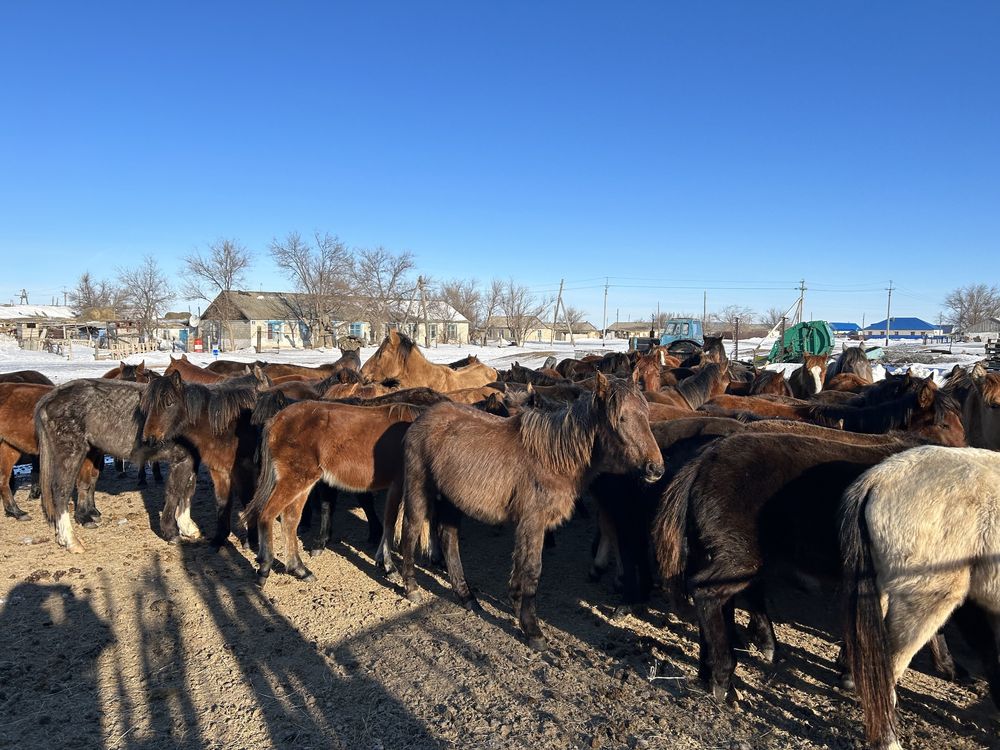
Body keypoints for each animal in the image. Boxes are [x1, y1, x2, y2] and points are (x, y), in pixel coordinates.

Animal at [248, 406, 428, 588]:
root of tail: (276, 420)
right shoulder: (397, 485)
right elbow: (390, 524)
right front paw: (390, 567)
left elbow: (387, 524)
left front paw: (381, 561)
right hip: (295, 480)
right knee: (267, 515)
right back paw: (265, 569)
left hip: (302, 482)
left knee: (290, 521)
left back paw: (300, 570)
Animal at [396, 376, 664, 652]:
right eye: (621, 418)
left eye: (646, 415)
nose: (656, 469)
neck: (553, 458)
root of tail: (422, 418)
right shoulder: (533, 521)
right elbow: (533, 570)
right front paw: (533, 630)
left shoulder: (529, 524)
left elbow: (521, 565)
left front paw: (517, 608)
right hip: (418, 488)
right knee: (410, 530)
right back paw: (411, 587)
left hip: (452, 500)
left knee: (448, 538)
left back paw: (466, 596)